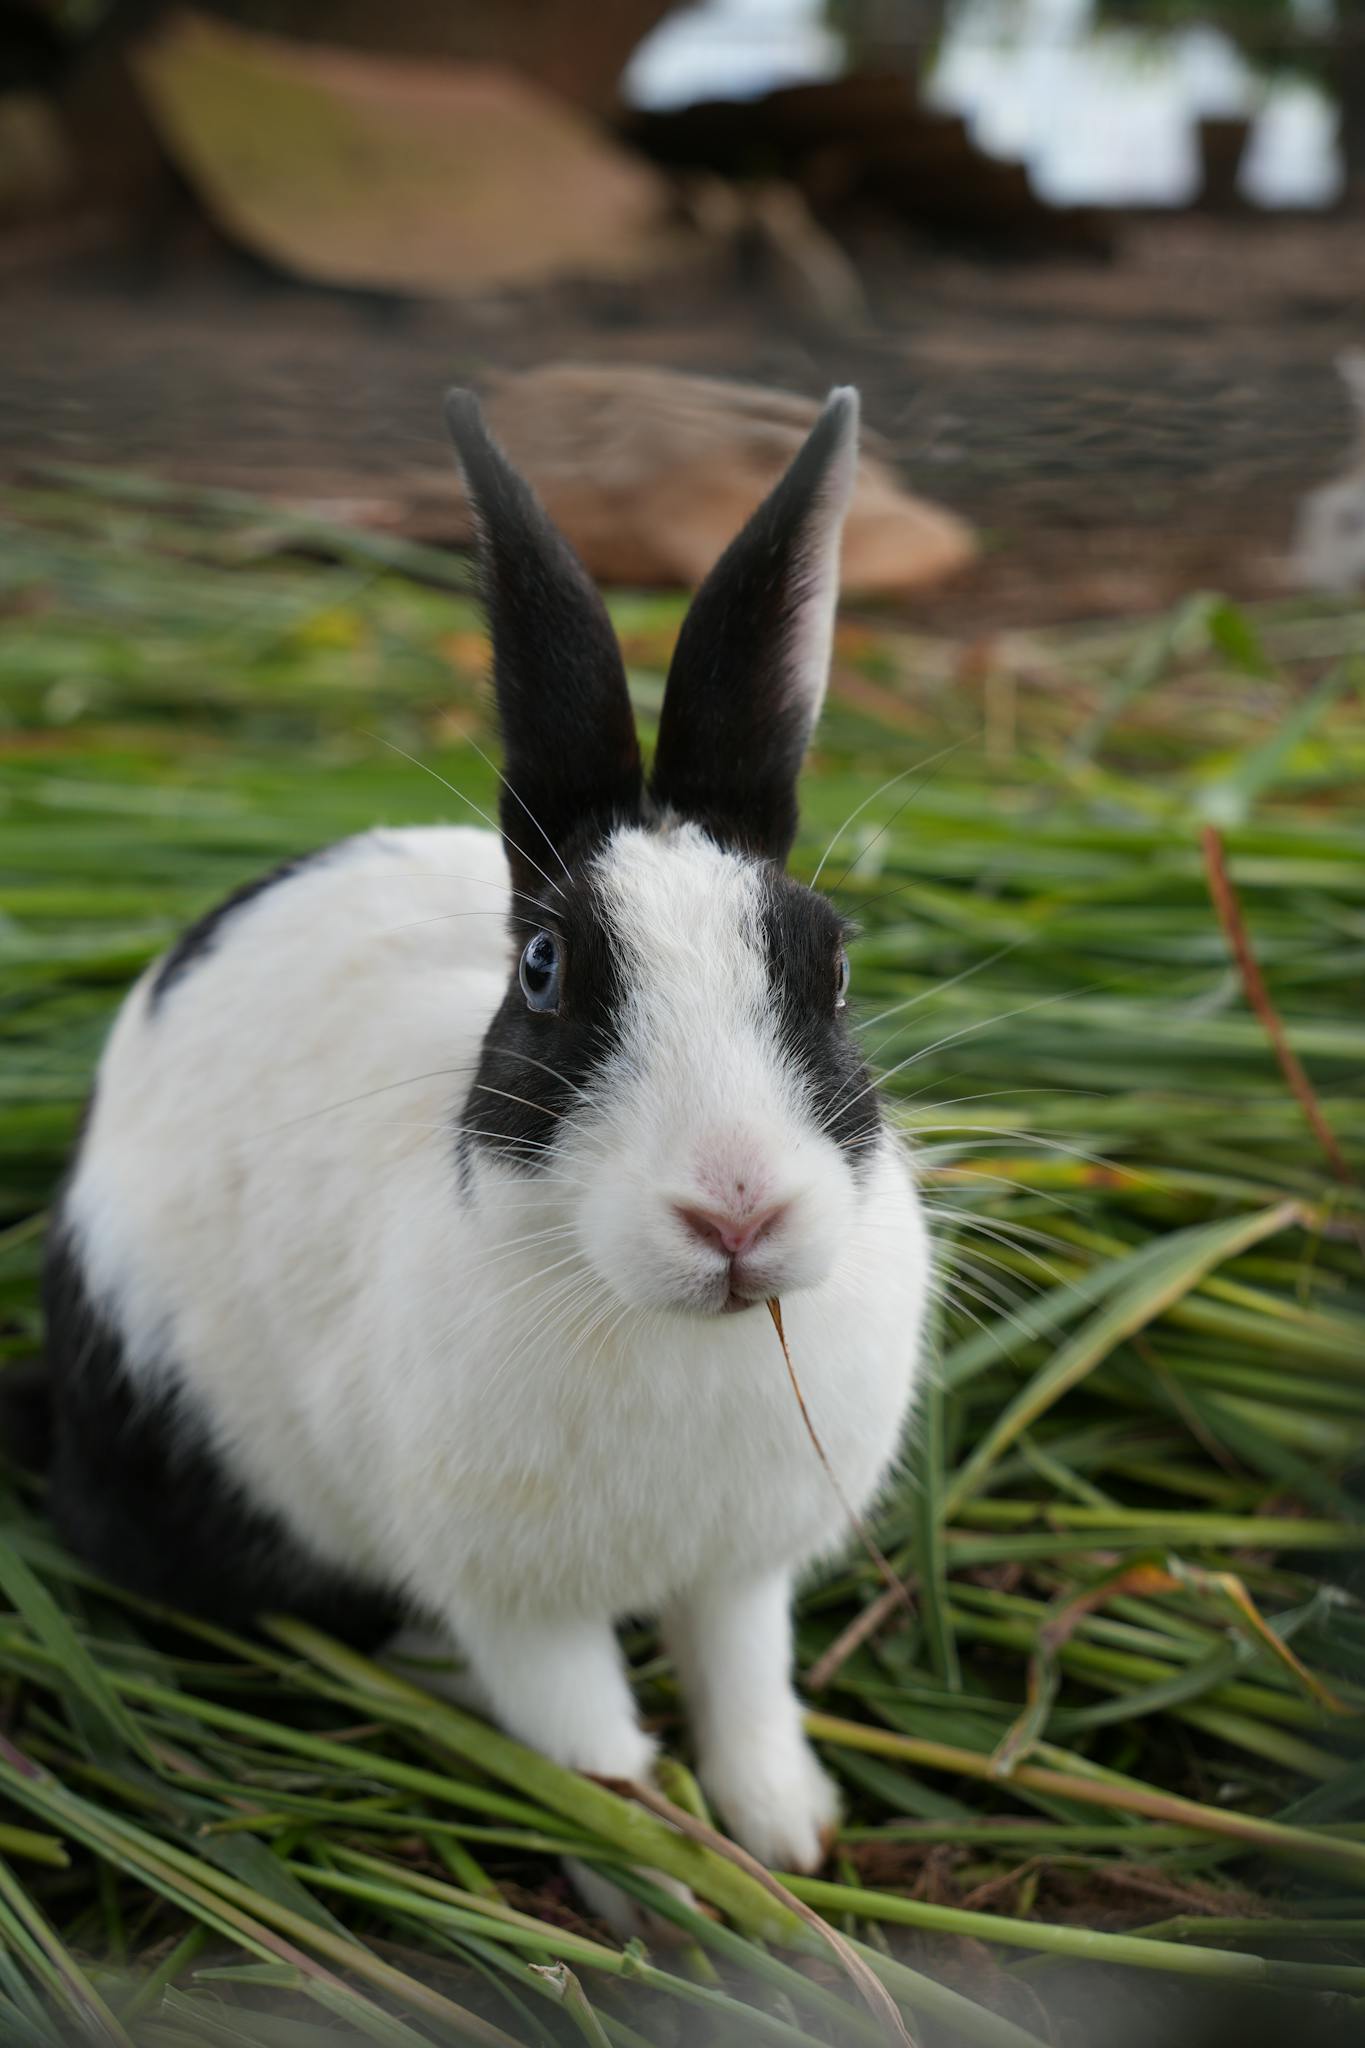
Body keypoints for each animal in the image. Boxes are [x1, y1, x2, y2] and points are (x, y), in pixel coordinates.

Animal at [41, 386, 929, 1877]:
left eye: (833, 963)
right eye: (545, 971)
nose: (736, 1211)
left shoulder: (738, 1573)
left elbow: (744, 1688)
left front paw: (786, 1834)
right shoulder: (523, 1609)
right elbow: (591, 1749)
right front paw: (674, 1876)